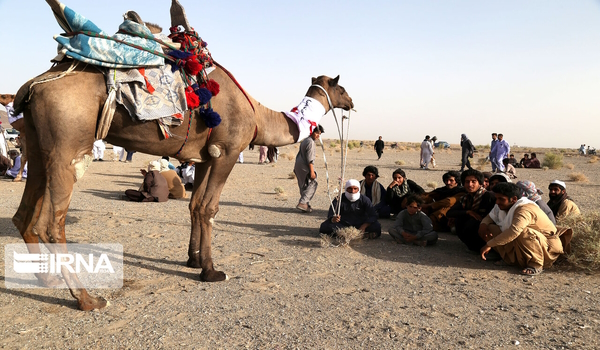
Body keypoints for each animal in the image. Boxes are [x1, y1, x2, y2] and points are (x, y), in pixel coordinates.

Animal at [11, 55, 354, 312]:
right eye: (341, 86)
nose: (351, 102)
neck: (258, 116)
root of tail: (31, 87)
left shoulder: (202, 158)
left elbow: (194, 205)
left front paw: (193, 259)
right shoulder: (227, 152)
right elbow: (209, 208)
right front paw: (211, 271)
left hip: (37, 144)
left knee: (23, 214)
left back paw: (47, 280)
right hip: (67, 145)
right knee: (51, 224)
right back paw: (88, 299)